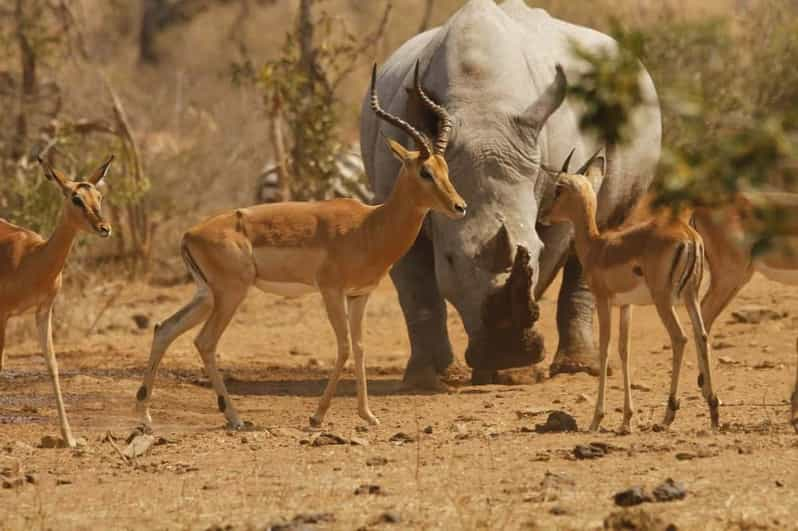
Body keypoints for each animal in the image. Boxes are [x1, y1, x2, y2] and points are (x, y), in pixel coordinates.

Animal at [0, 155, 114, 448]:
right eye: (76, 198)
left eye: (99, 196)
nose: (104, 228)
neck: (32, 258)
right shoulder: (3, 314)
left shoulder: (43, 311)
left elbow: (52, 364)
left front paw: (69, 437)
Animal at [134, 63, 466, 428]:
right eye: (424, 171)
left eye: (445, 168)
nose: (460, 206)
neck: (369, 226)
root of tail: (190, 234)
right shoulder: (330, 291)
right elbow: (344, 346)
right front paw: (317, 416)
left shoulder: (359, 295)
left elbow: (360, 346)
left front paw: (367, 414)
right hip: (231, 294)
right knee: (204, 341)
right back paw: (235, 418)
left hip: (206, 295)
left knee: (164, 329)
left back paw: (146, 415)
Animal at [544, 152, 720, 434]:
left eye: (558, 189)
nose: (545, 216)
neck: (597, 247)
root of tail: (688, 235)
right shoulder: (626, 306)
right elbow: (624, 350)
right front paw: (626, 420)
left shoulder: (603, 301)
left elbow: (605, 348)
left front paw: (597, 419)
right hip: (690, 296)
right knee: (701, 336)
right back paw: (714, 412)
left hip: (664, 301)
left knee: (680, 338)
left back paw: (668, 415)